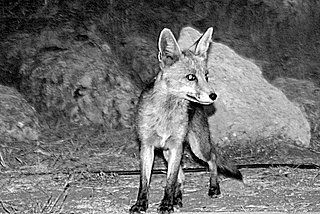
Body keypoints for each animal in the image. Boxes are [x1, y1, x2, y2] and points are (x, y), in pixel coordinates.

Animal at [129, 27, 241, 214]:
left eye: (206, 76)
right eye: (191, 77)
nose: (213, 96)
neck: (165, 115)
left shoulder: (176, 146)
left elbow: (170, 181)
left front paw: (166, 205)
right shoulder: (147, 146)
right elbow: (145, 181)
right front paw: (141, 204)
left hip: (198, 148)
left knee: (212, 159)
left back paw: (213, 188)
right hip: (168, 153)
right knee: (182, 176)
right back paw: (178, 198)